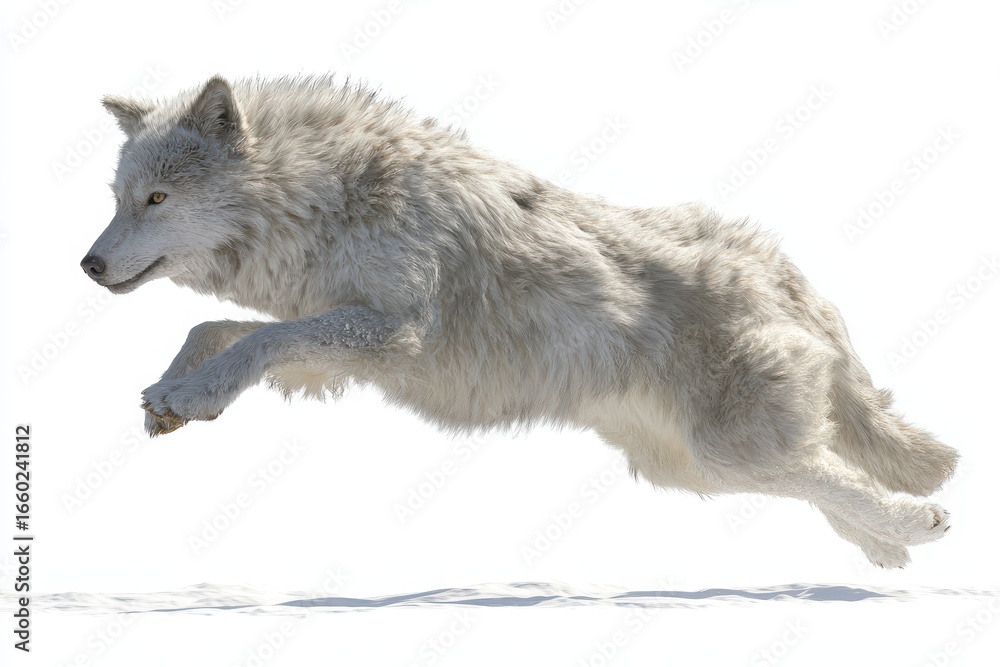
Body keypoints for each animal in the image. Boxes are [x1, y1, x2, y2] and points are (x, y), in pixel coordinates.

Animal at [82, 74, 958, 568]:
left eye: (156, 199)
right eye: (119, 199)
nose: (87, 265)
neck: (330, 198)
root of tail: (778, 263)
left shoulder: (393, 331)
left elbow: (259, 336)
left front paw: (193, 395)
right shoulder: (335, 342)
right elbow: (218, 332)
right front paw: (171, 394)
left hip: (722, 446)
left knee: (823, 469)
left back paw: (914, 525)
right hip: (694, 466)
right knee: (815, 469)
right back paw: (886, 547)